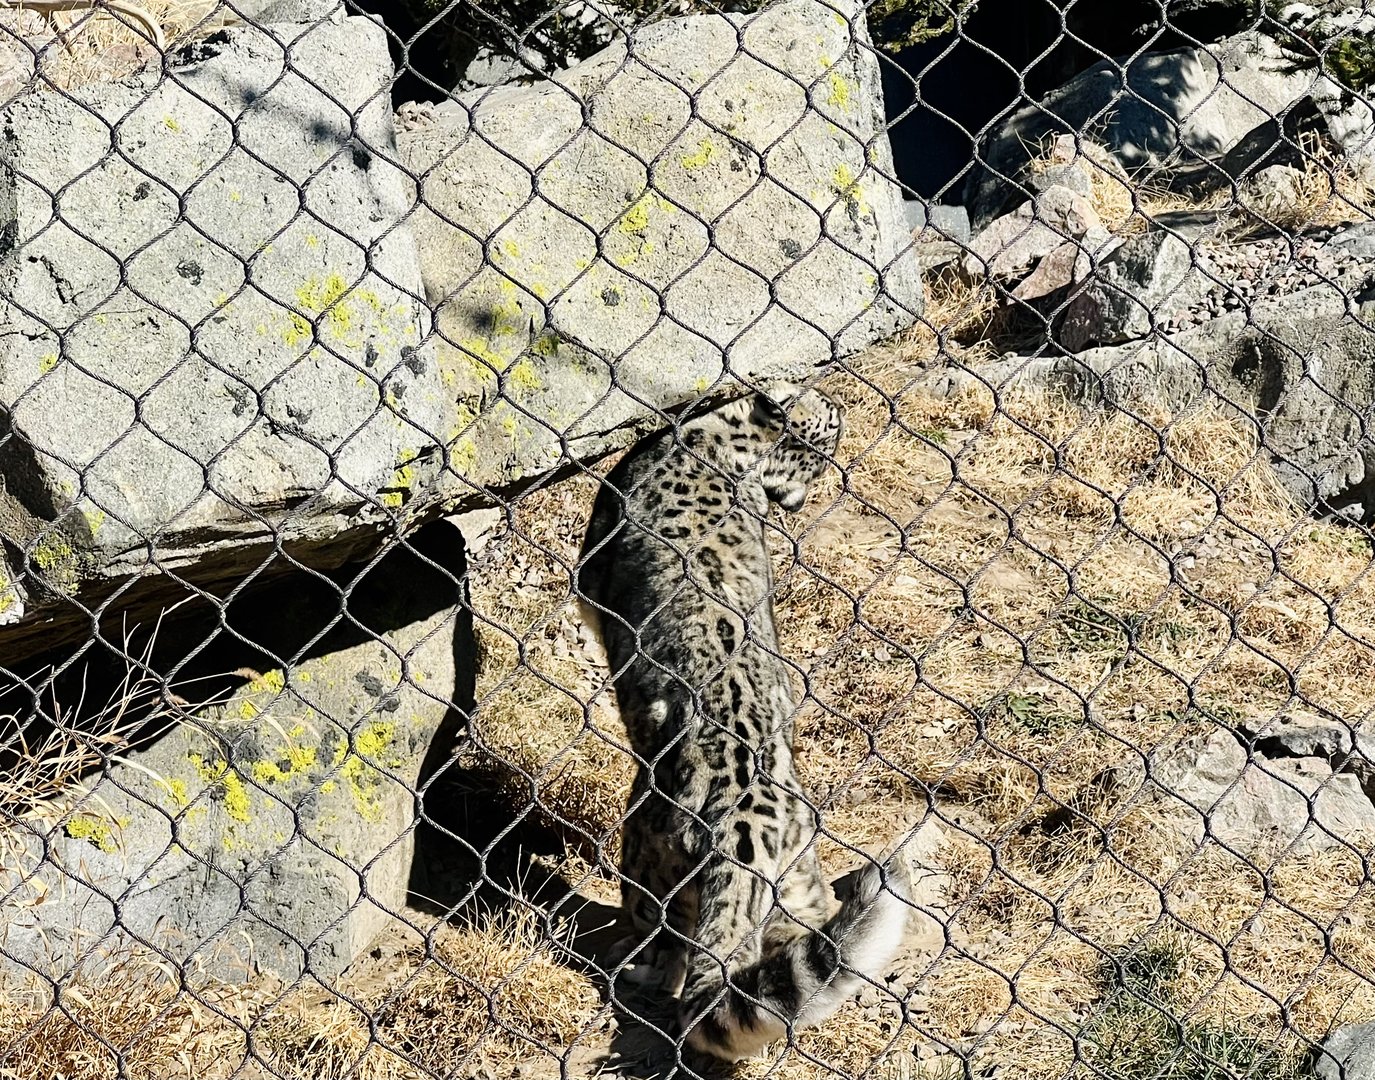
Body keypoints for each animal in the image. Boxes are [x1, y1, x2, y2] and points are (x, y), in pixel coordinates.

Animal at [576, 381, 912, 1061]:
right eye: (824, 446)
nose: (802, 498)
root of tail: (747, 823)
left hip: (645, 843)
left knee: (668, 946)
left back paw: (634, 962)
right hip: (799, 872)